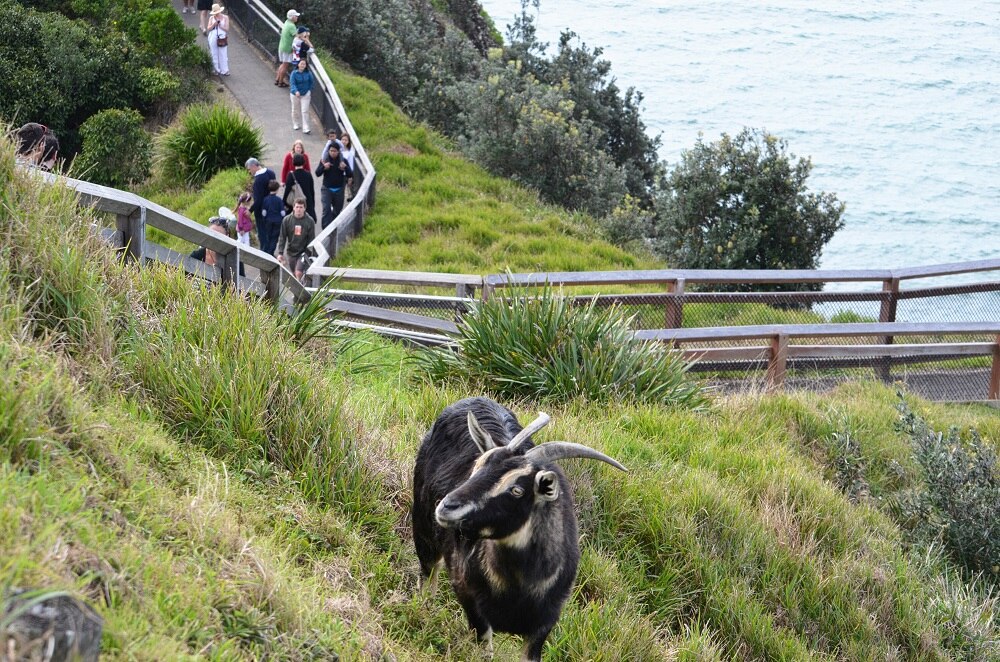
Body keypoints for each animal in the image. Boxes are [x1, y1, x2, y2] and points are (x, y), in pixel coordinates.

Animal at [411, 397, 626, 661]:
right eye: (476, 468)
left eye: (517, 490)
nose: (447, 506)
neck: (519, 587)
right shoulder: (470, 599)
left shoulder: (544, 623)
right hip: (423, 530)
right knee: (428, 575)